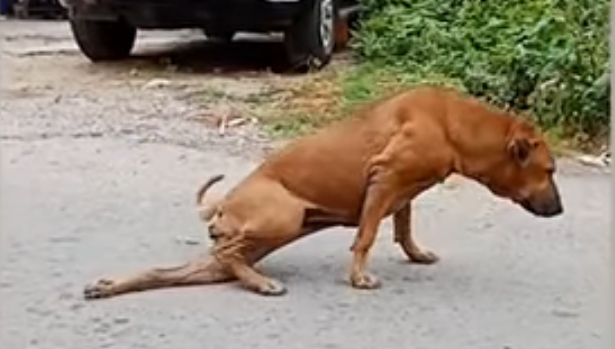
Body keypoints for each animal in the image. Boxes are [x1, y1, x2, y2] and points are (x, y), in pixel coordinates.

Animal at [84, 85, 564, 298]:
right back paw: (263, 283)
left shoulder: (404, 191)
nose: (559, 209)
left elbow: (404, 227)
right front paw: (359, 277)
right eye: (549, 169)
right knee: (227, 254)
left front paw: (415, 253)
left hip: (248, 245)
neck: (454, 124)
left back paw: (110, 285)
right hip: (281, 217)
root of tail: (223, 204)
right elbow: (367, 235)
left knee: (182, 269)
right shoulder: (385, 179)